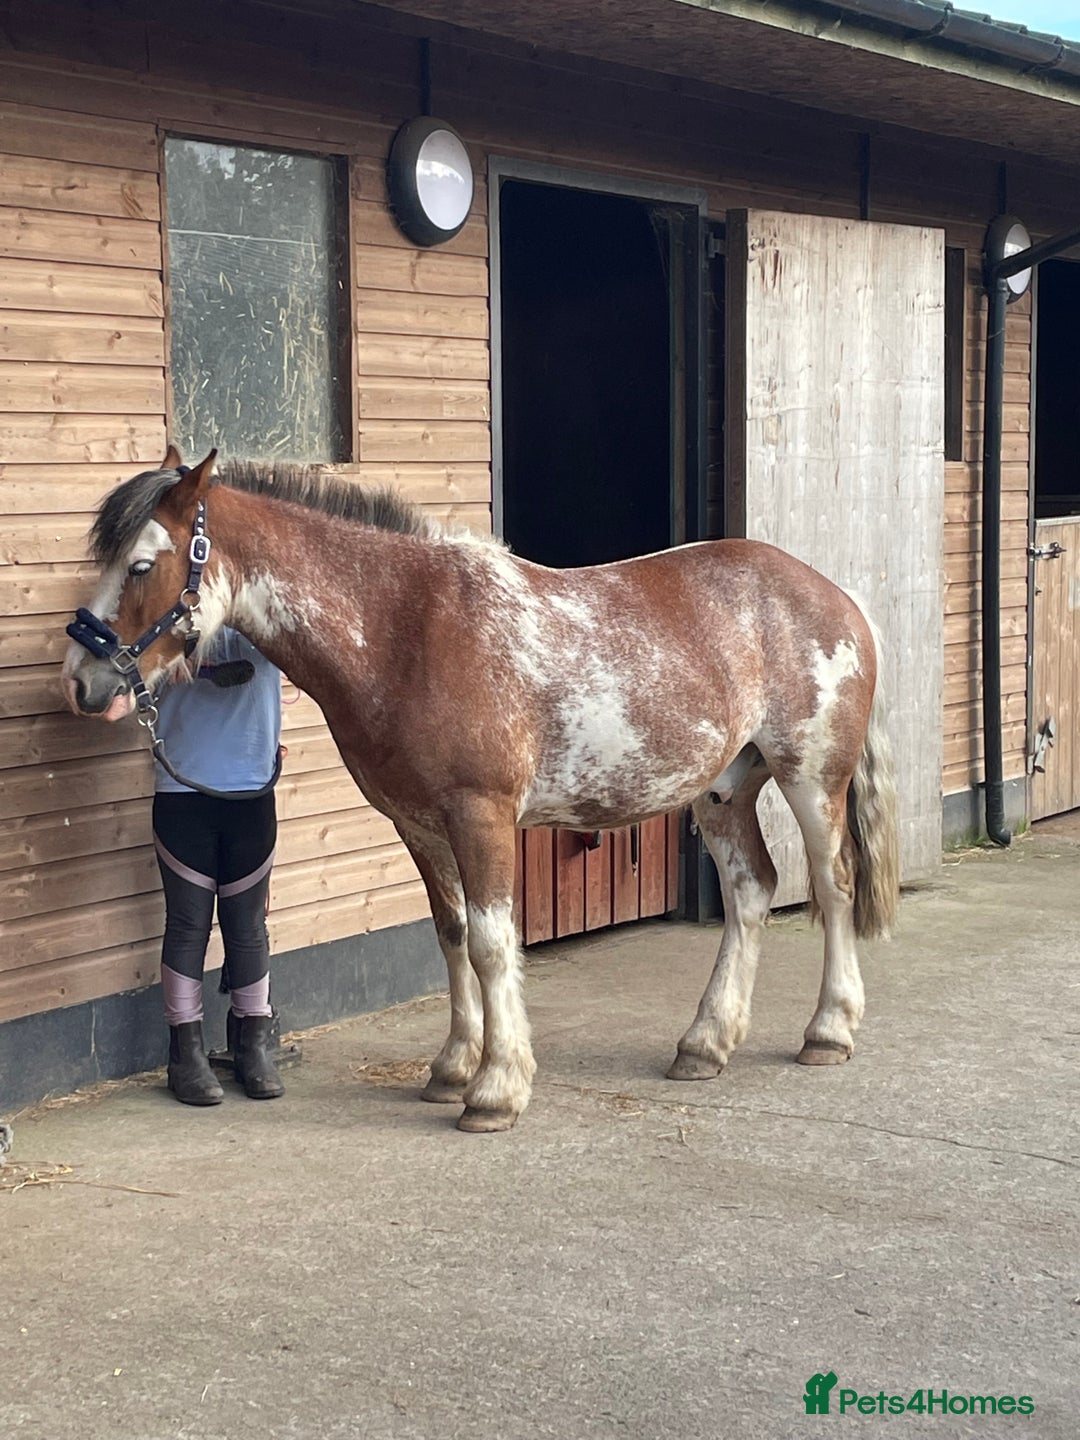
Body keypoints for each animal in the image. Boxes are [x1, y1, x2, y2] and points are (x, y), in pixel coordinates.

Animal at [62, 448, 900, 1133]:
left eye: (142, 565)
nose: (81, 681)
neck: (408, 627)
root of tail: (841, 597)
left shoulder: (482, 815)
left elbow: (495, 943)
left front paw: (497, 1088)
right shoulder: (419, 824)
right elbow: (453, 933)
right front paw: (452, 1068)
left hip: (809, 777)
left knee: (830, 885)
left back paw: (828, 1031)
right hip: (723, 790)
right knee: (752, 889)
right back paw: (705, 1044)